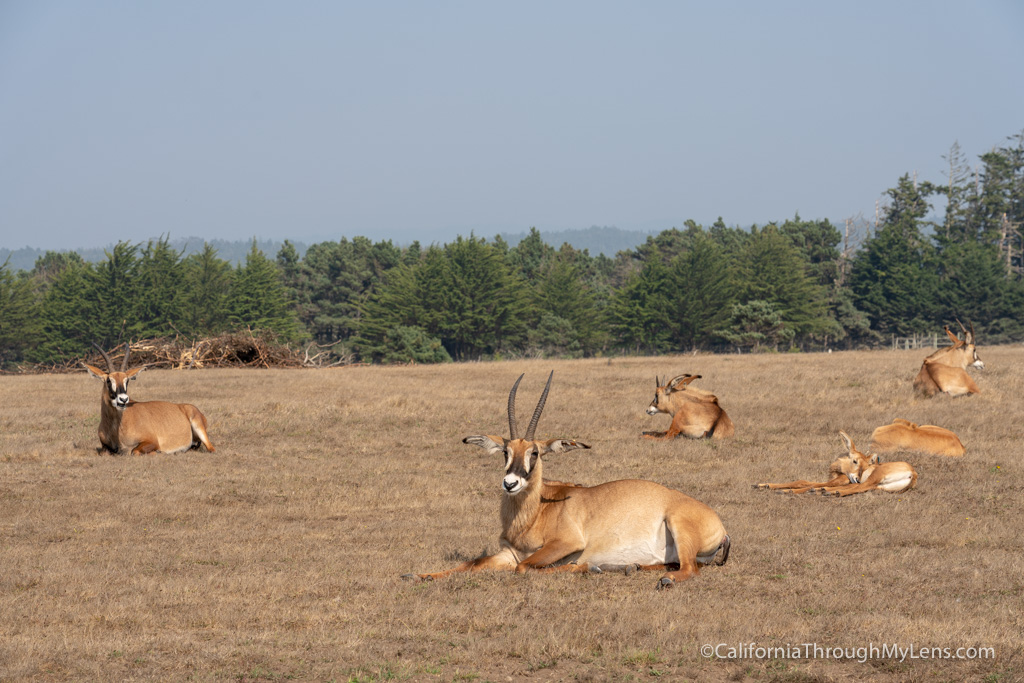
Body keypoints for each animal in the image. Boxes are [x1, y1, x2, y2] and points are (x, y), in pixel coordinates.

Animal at [82, 342, 216, 458]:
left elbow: (134, 451)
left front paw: (158, 452)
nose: (123, 399)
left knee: (211, 449)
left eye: (127, 380)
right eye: (109, 380)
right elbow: (103, 452)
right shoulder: (105, 446)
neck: (116, 428)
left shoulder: (151, 441)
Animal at [399, 374, 729, 589]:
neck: (536, 513)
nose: (510, 483)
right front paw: (419, 575)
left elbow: (525, 568)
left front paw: (586, 567)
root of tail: (721, 526)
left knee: (690, 569)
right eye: (506, 451)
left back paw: (657, 578)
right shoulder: (508, 553)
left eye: (534, 452)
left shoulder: (566, 543)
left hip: (678, 526)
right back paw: (628, 566)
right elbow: (473, 563)